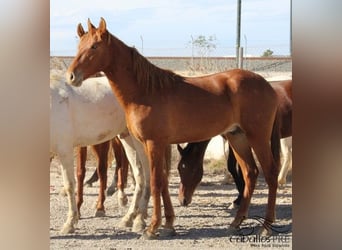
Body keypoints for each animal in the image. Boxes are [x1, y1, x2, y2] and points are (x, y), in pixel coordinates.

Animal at [49, 72, 150, 234]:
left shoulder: (64, 150)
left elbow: (70, 185)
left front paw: (69, 224)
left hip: (139, 140)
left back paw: (140, 220)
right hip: (126, 137)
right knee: (139, 175)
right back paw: (130, 217)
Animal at [66, 18, 280, 238]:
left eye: (94, 46)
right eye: (79, 46)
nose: (71, 76)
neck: (145, 91)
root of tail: (267, 85)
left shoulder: (154, 143)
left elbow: (155, 182)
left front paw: (152, 227)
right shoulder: (152, 144)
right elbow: (161, 181)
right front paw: (168, 223)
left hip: (257, 137)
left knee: (271, 173)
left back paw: (266, 226)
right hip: (237, 137)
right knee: (250, 173)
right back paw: (236, 222)